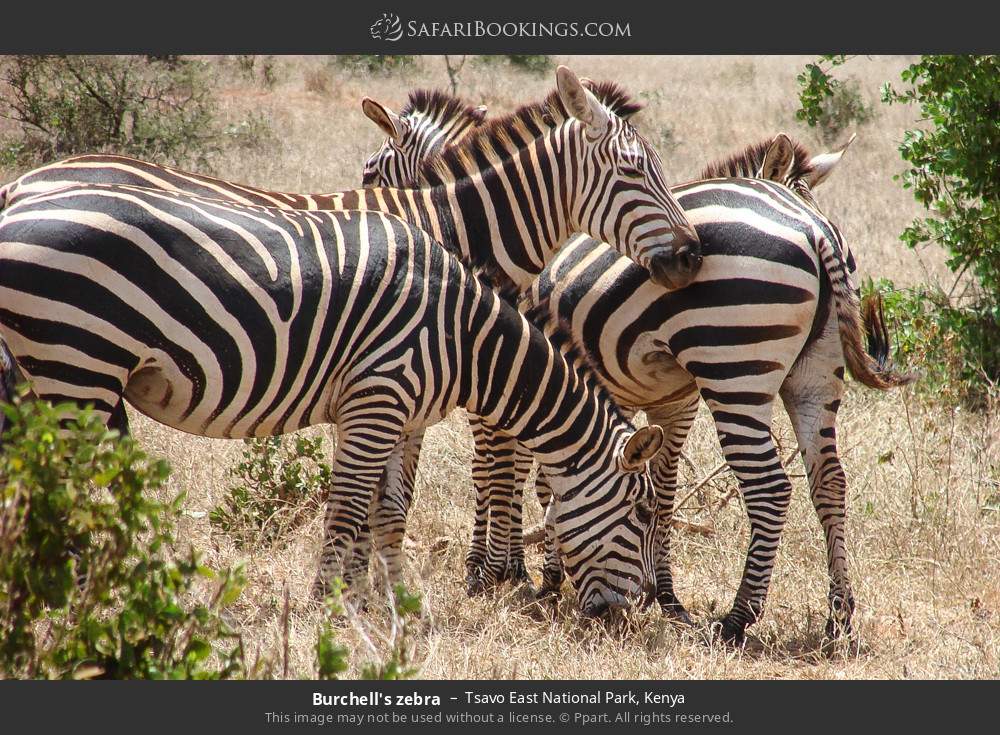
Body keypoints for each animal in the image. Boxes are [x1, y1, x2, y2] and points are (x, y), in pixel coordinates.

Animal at [0, 183, 666, 615]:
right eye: (639, 515)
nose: (627, 616)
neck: (463, 336)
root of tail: (19, 202)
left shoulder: (398, 416)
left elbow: (387, 510)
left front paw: (387, 603)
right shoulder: (378, 396)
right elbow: (347, 507)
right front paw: (329, 606)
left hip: (49, 373)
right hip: (76, 362)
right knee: (59, 484)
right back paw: (72, 595)